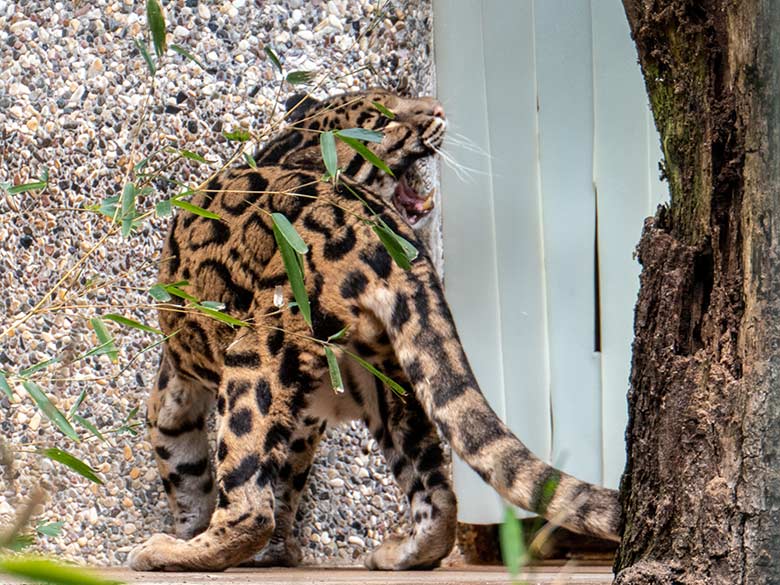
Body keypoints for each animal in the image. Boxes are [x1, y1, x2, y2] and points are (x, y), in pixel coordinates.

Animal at [128, 89, 620, 568]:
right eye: (381, 119)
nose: (438, 110)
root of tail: (377, 225)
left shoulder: (175, 381)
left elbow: (185, 467)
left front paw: (192, 532)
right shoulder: (304, 417)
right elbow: (282, 476)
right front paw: (279, 552)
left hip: (257, 355)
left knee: (250, 505)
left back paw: (172, 554)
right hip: (390, 379)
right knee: (438, 494)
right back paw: (403, 553)